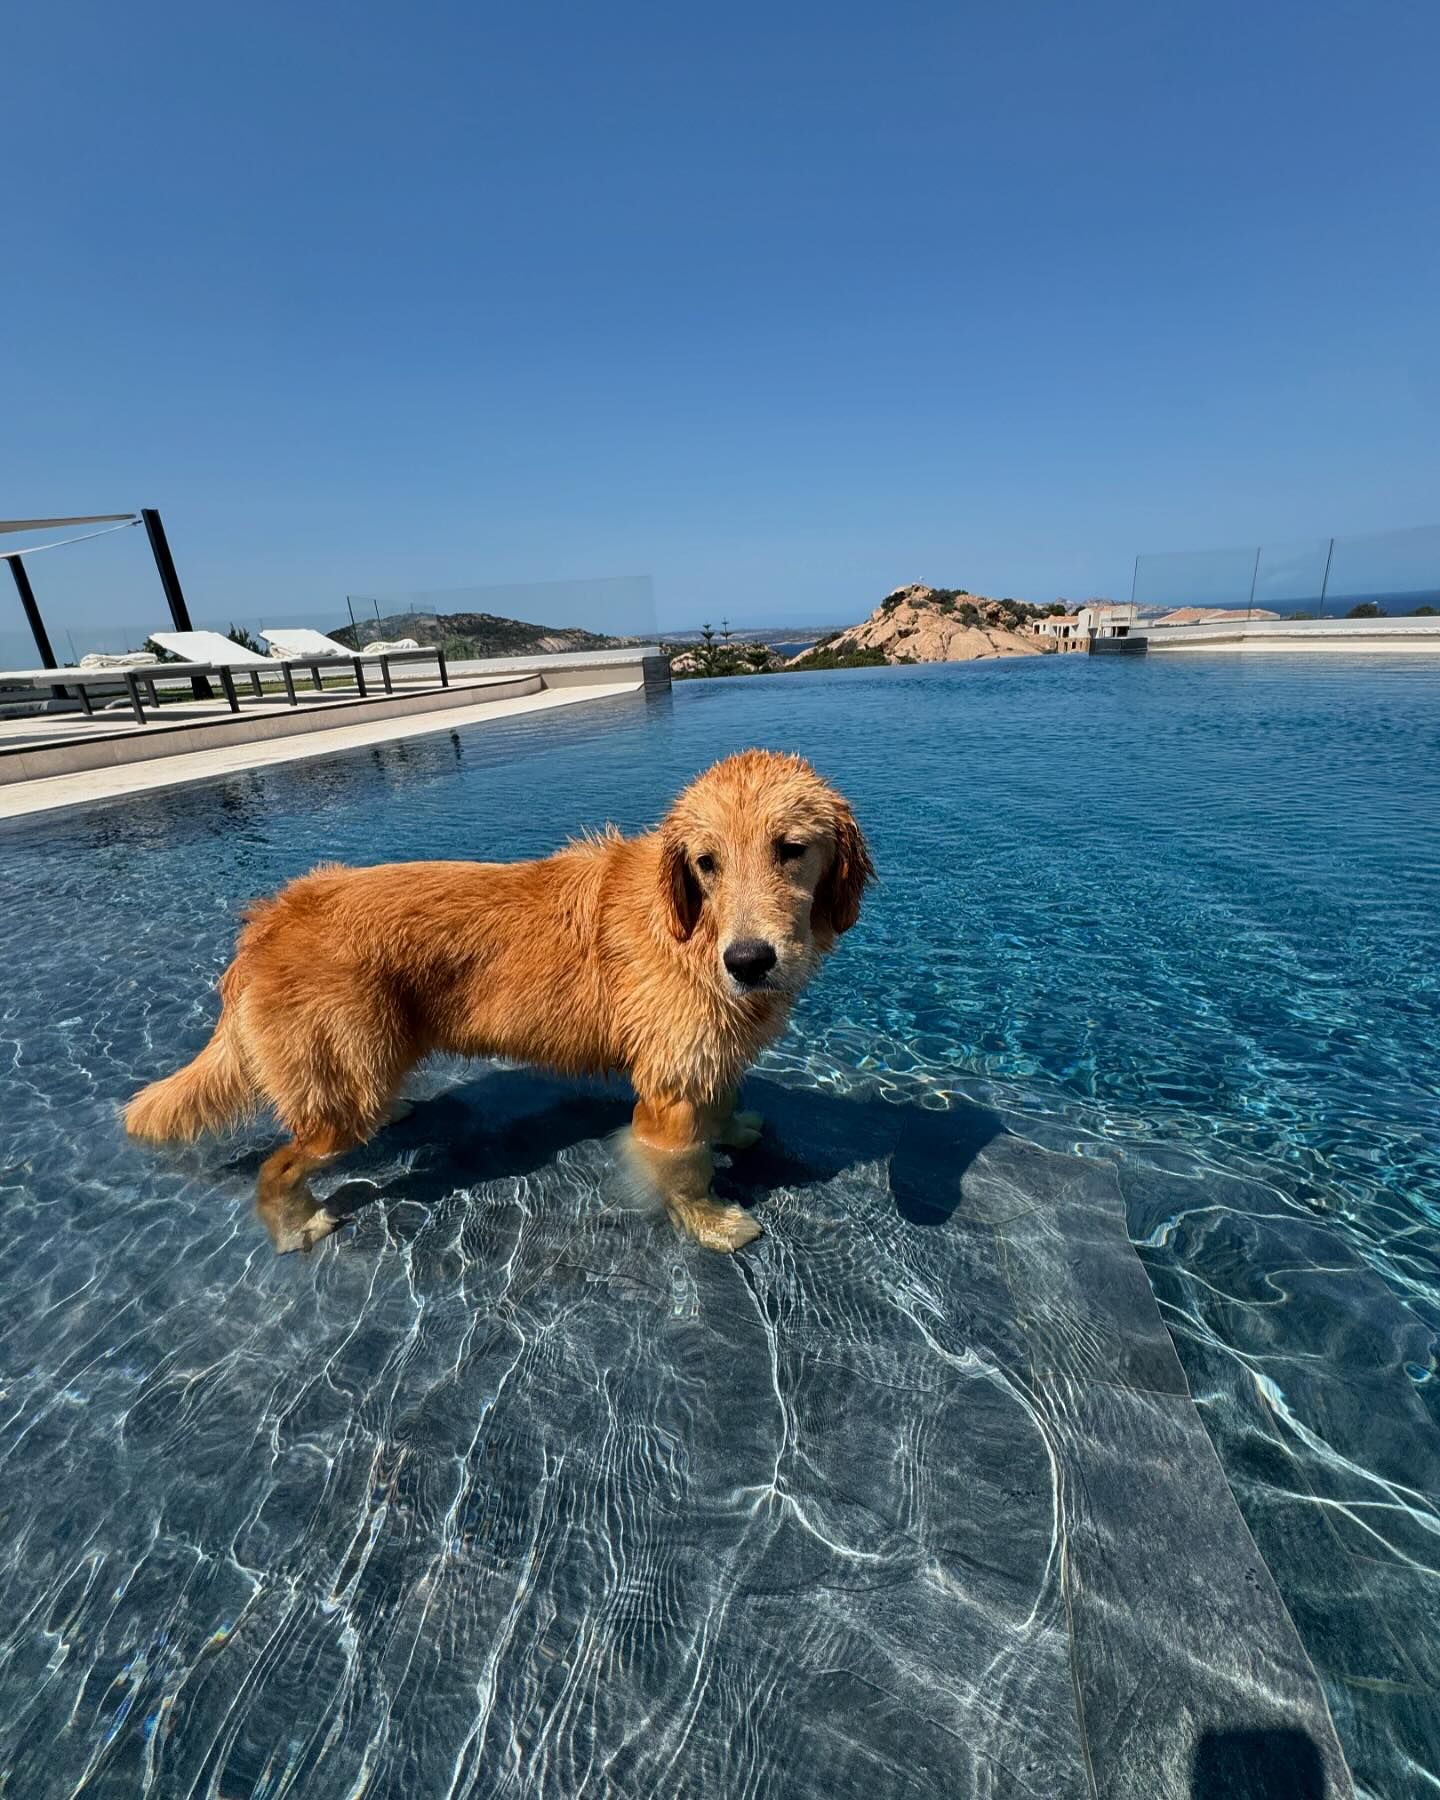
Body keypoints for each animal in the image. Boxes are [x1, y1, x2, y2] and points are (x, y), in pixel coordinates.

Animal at [126, 745, 867, 1252]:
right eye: (707, 863)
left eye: (791, 849)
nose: (748, 963)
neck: (693, 929)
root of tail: (269, 921)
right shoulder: (667, 1093)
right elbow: (685, 1171)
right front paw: (713, 1225)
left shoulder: (700, 1060)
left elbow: (721, 1107)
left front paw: (733, 1130)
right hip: (340, 1099)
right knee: (280, 1164)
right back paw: (294, 1224)